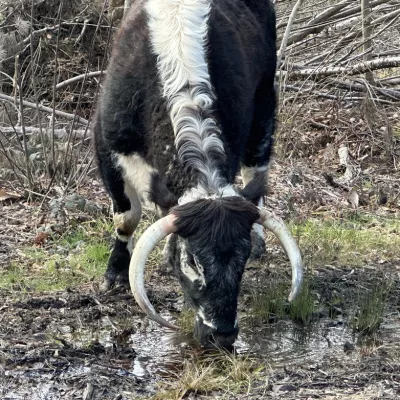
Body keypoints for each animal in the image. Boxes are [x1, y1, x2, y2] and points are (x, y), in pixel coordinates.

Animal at [93, 0, 303, 349]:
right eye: (192, 261)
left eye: (241, 258)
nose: (222, 334)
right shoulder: (108, 144)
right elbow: (127, 217)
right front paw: (115, 275)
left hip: (264, 107)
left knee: (255, 171)